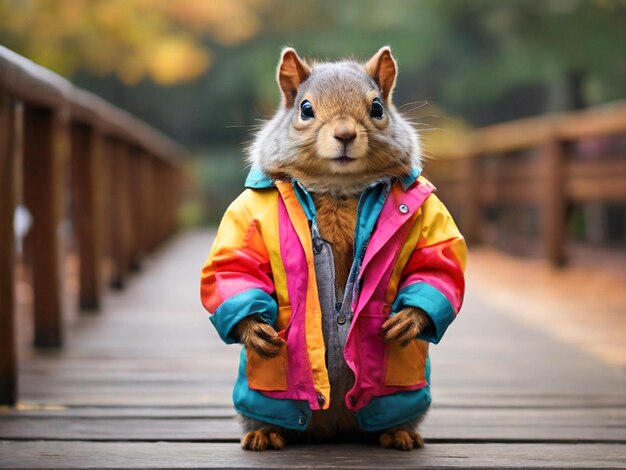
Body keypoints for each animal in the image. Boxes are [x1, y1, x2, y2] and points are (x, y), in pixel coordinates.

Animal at [199, 46, 464, 452]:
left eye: (377, 108)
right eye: (305, 109)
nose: (344, 133)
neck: (338, 188)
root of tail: (333, 425)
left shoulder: (429, 221)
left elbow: (435, 262)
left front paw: (411, 318)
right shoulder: (247, 216)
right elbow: (233, 265)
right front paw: (253, 327)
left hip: (403, 394)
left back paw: (398, 432)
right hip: (261, 397)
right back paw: (265, 432)